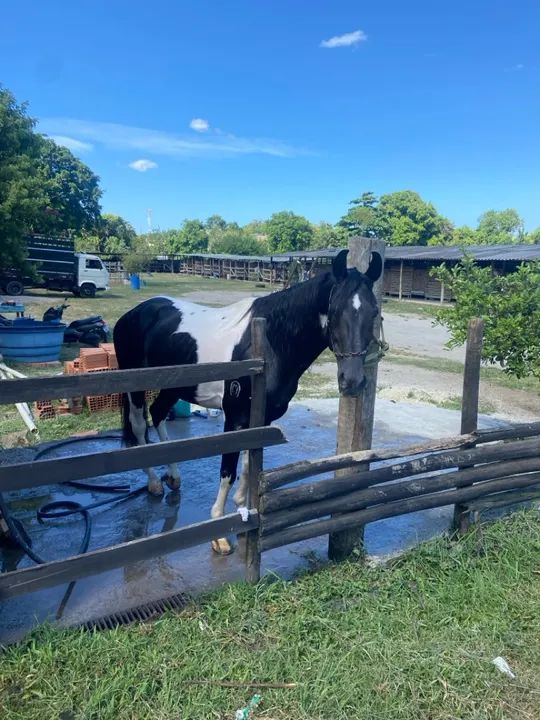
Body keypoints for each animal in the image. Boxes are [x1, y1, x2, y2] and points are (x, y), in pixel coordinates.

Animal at [113, 248, 382, 554]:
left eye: (374, 312)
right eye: (334, 311)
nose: (353, 381)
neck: (267, 345)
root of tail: (133, 314)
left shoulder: (261, 417)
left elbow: (246, 462)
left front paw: (242, 510)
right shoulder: (234, 416)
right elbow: (228, 469)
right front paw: (218, 533)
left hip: (174, 386)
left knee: (157, 415)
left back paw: (174, 477)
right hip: (135, 387)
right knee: (138, 427)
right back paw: (154, 483)